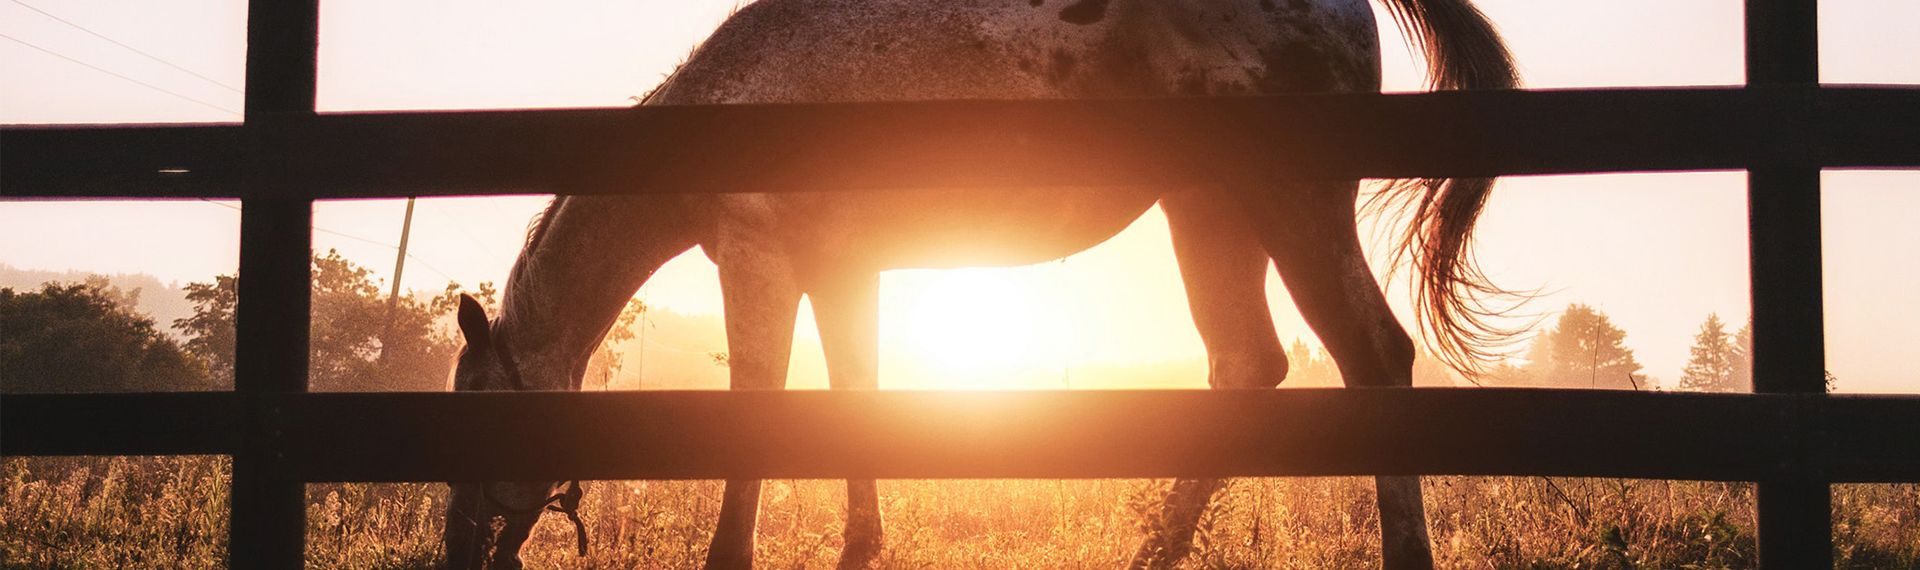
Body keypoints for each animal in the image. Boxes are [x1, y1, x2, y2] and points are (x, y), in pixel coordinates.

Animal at [442, 0, 1516, 568]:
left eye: (480, 413)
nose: (460, 548)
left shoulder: (762, 263)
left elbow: (760, 412)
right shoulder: (843, 274)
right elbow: (854, 402)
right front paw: (861, 547)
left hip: (1292, 204)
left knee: (1371, 356)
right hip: (1209, 212)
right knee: (1246, 365)